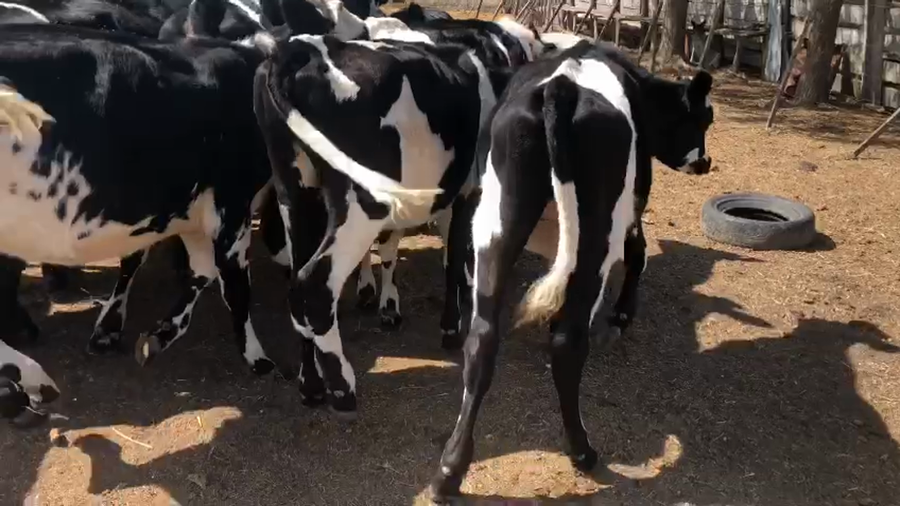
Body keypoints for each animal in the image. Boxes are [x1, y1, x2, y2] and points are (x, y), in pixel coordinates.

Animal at [0, 25, 277, 374]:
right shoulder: (231, 206)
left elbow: (193, 270)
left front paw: (149, 333)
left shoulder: (180, 209)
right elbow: (236, 288)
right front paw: (258, 358)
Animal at [429, 40, 714, 502]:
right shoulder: (634, 202)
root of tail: (563, 85)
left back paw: (449, 470)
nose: (705, 162)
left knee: (482, 339)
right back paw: (581, 449)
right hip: (596, 232)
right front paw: (621, 314)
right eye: (703, 119)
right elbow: (638, 251)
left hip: (497, 221)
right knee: (567, 342)